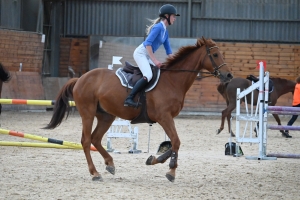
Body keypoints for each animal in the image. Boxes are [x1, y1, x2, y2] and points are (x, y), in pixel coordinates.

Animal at [44, 36, 233, 182]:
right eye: (215, 54)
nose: (229, 75)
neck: (173, 81)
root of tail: (80, 78)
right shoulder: (164, 117)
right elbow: (176, 141)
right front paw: (171, 170)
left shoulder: (168, 118)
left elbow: (173, 143)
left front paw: (154, 160)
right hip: (88, 113)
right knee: (86, 140)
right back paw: (95, 173)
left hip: (106, 116)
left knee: (96, 139)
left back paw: (110, 164)